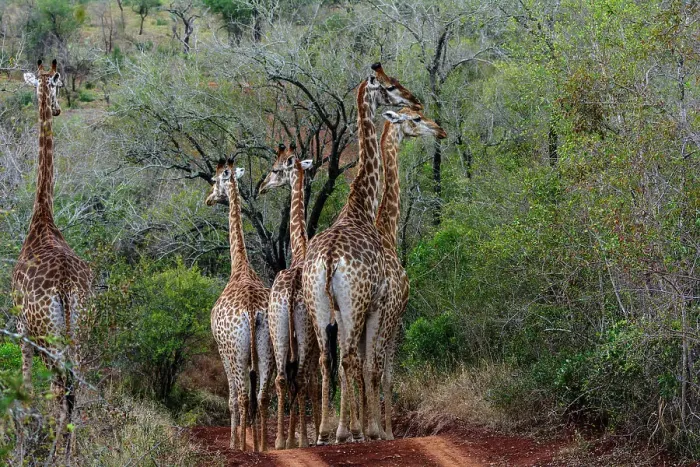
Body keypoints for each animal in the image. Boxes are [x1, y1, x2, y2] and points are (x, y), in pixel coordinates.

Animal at [301, 63, 422, 445]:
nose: (415, 100)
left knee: (327, 360)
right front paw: (369, 429)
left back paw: (326, 431)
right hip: (353, 304)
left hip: (318, 305)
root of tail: (328, 261)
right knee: (351, 359)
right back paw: (349, 431)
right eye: (390, 86)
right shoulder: (378, 303)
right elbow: (371, 364)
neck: (360, 207)